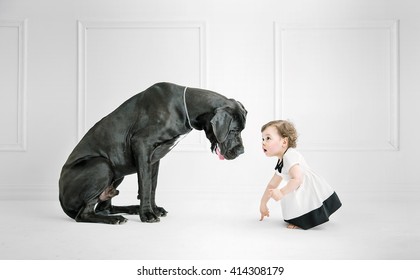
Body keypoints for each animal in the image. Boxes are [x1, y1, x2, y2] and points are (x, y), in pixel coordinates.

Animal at [58, 82, 246, 224]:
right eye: (234, 130)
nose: (242, 151)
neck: (184, 107)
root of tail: (61, 198)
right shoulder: (142, 144)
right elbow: (146, 184)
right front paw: (147, 214)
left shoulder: (154, 158)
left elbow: (152, 185)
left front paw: (153, 209)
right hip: (102, 165)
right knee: (84, 214)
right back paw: (115, 218)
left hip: (117, 173)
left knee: (104, 208)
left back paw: (130, 209)